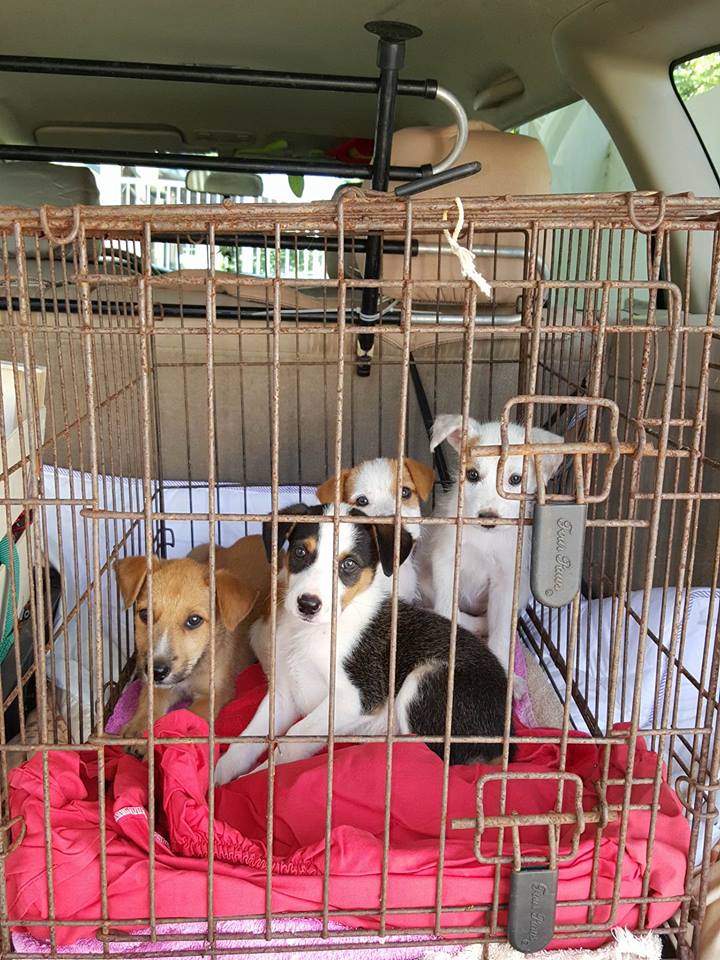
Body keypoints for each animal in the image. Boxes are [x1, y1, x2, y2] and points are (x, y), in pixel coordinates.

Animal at [116, 538, 269, 756]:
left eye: (194, 620)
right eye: (144, 615)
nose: (157, 672)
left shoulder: (214, 694)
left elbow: (187, 715)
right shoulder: (156, 685)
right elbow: (148, 704)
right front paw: (138, 730)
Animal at [214, 503, 511, 785]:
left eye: (349, 565)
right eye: (300, 552)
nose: (307, 604)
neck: (314, 633)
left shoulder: (356, 698)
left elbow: (294, 737)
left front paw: (259, 777)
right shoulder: (285, 694)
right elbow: (249, 737)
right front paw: (221, 773)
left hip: (425, 680)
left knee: (432, 756)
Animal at [417, 416, 565, 674]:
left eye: (515, 479)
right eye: (473, 475)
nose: (487, 517)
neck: (484, 539)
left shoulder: (506, 581)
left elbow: (501, 632)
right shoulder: (446, 562)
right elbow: (446, 609)